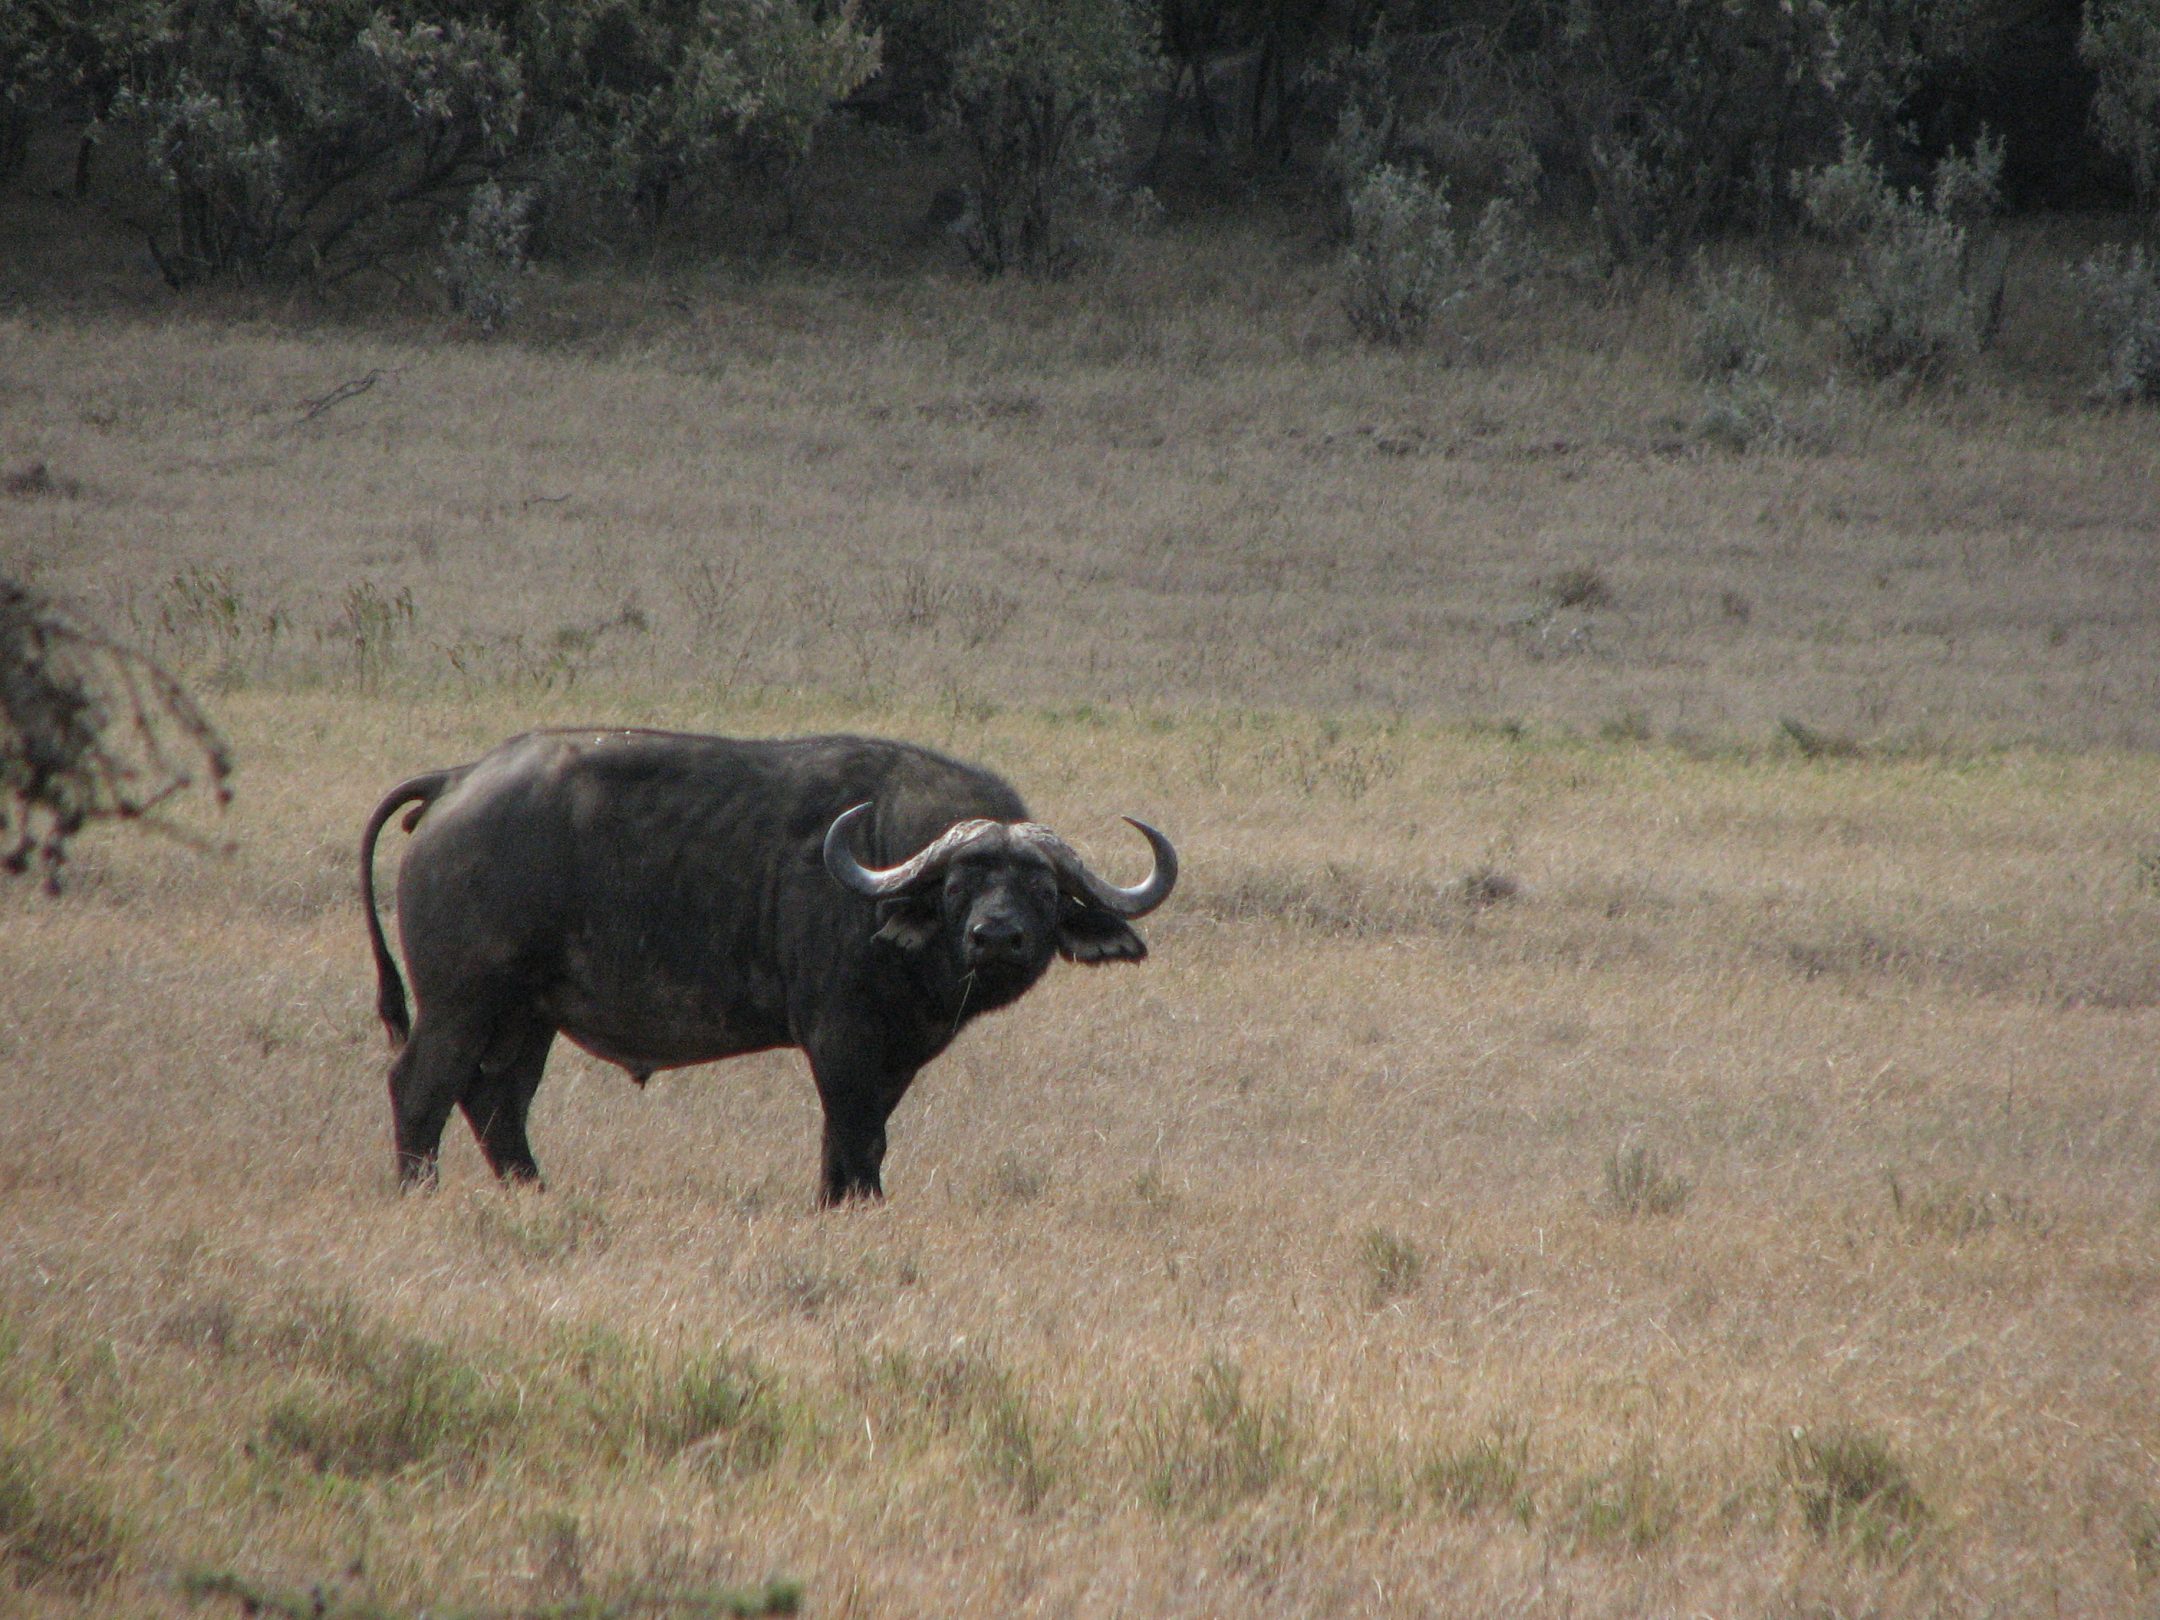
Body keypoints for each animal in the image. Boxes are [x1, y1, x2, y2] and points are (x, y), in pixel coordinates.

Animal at [367, 734, 1183, 1209]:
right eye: (958, 886)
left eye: (1042, 890)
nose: (998, 937)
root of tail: (458, 778)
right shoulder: (841, 1040)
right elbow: (852, 1135)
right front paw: (850, 1206)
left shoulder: (895, 1056)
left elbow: (864, 1134)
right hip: (461, 1000)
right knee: (421, 1087)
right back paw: (419, 1194)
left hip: (528, 1015)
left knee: (497, 1100)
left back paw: (535, 1194)